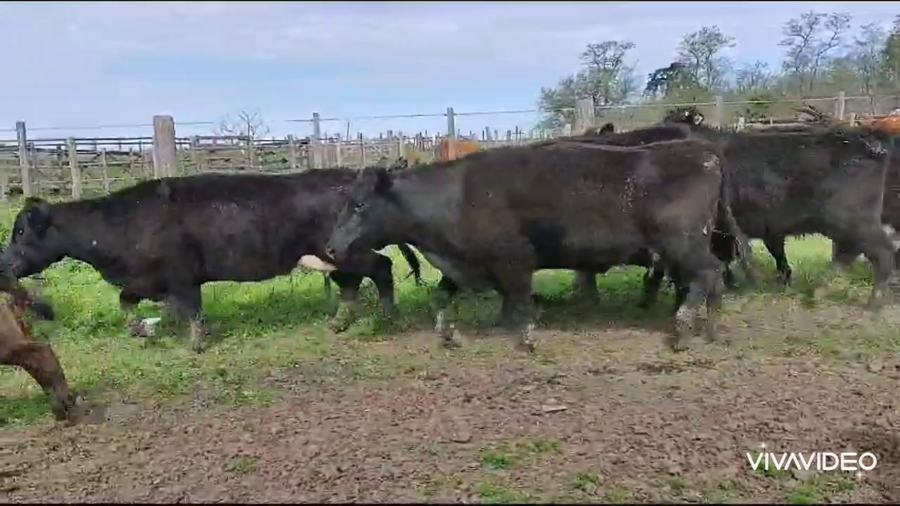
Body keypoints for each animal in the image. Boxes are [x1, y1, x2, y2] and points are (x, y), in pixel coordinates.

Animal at [2, 169, 422, 353]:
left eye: (20, 232)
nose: (4, 264)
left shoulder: (182, 276)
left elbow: (193, 309)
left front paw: (197, 344)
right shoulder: (144, 280)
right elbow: (126, 304)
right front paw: (147, 331)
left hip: (348, 252)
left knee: (382, 268)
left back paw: (387, 317)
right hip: (330, 257)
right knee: (351, 284)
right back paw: (338, 324)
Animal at [326, 137, 751, 353]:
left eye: (359, 204)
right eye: (344, 202)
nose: (331, 247)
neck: (458, 195)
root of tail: (702, 152)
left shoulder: (513, 261)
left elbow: (520, 299)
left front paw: (528, 337)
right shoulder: (466, 264)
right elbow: (443, 295)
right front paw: (449, 334)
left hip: (683, 244)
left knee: (708, 275)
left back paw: (683, 329)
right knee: (711, 279)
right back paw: (709, 328)